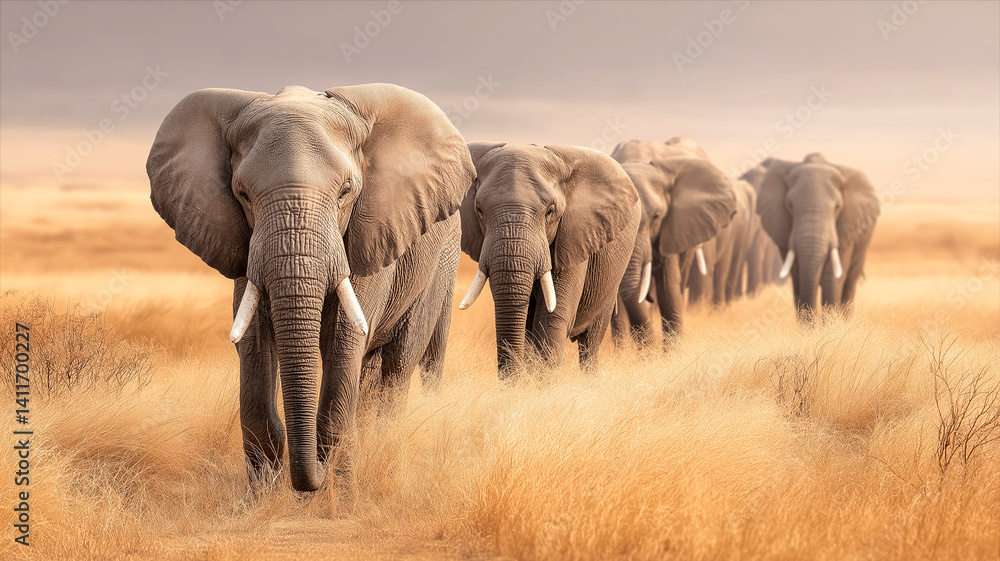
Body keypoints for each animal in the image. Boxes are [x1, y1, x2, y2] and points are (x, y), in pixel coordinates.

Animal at [147, 84, 475, 492]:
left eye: (346, 192)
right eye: (243, 194)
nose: (310, 478)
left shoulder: (366, 235)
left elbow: (343, 340)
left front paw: (340, 499)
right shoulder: (246, 246)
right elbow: (255, 342)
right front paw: (260, 499)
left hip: (440, 262)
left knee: (399, 363)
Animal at [756, 153, 880, 323]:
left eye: (838, 206)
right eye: (789, 205)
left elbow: (831, 276)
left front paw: (830, 325)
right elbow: (798, 275)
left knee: (850, 282)